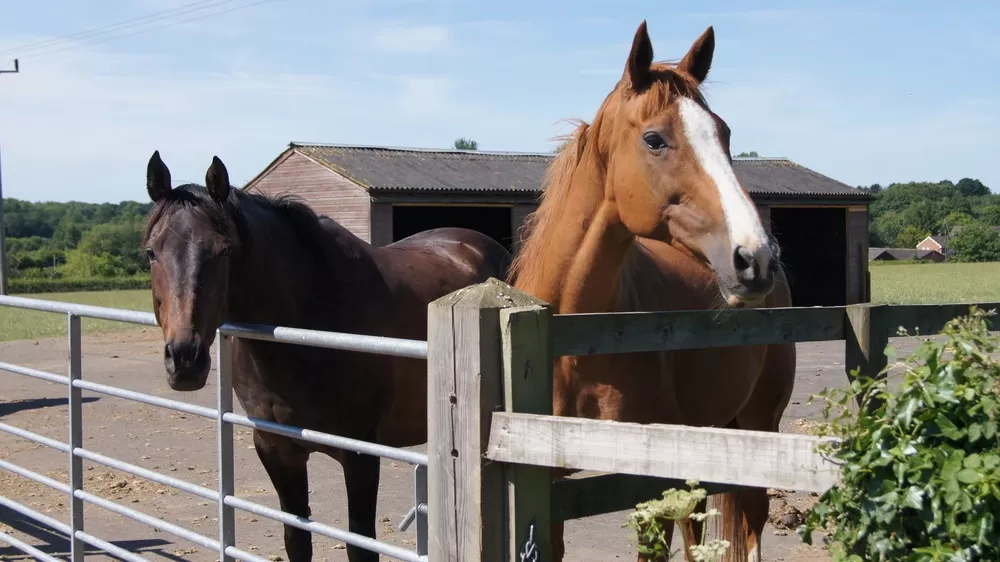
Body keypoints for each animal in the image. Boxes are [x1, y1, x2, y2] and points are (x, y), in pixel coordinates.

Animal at [141, 151, 512, 556]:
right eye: (151, 252)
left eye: (224, 251)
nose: (185, 359)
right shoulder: (276, 449)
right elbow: (297, 540)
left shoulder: (360, 455)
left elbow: (360, 544)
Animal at [508, 21, 796, 560]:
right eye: (654, 138)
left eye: (724, 134)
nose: (756, 258)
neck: (575, 341)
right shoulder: (547, 482)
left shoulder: (647, 483)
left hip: (758, 425)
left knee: (750, 526)